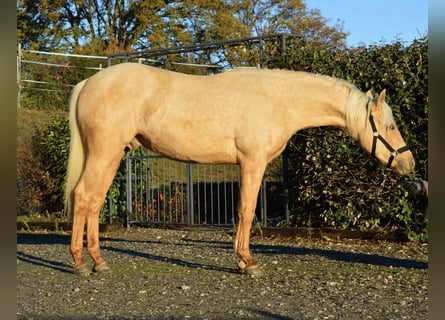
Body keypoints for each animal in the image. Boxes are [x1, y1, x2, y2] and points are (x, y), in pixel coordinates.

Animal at [64, 62, 414, 276]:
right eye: (390, 125)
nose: (409, 163)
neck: (279, 100)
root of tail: (88, 82)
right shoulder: (252, 162)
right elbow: (246, 211)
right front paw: (247, 262)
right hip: (103, 152)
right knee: (82, 196)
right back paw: (80, 262)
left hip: (112, 155)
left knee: (94, 200)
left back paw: (98, 261)